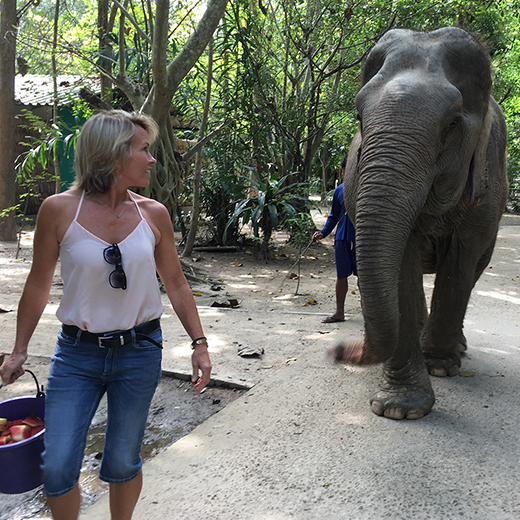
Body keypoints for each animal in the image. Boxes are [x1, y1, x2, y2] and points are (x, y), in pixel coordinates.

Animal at [334, 26, 508, 420]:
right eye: (359, 117)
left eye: (452, 124)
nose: (339, 351)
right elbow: (400, 262)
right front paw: (399, 410)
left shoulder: (486, 183)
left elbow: (460, 261)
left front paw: (440, 366)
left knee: (474, 268)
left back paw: (454, 348)